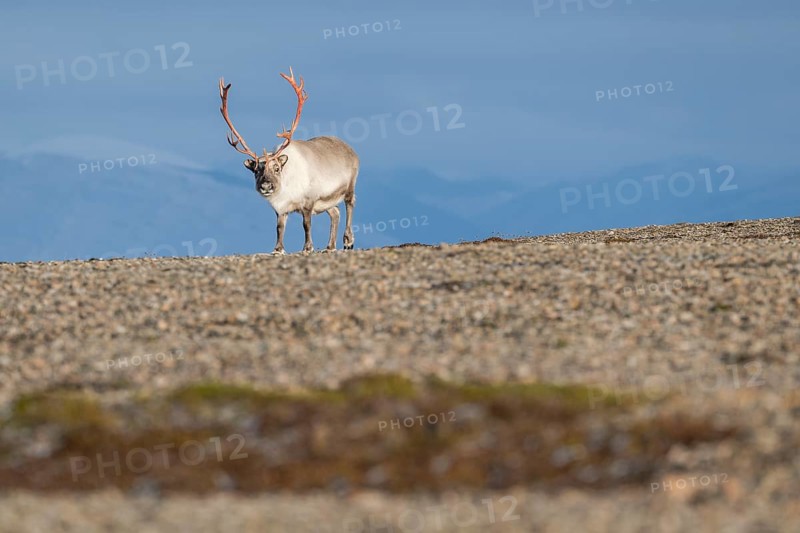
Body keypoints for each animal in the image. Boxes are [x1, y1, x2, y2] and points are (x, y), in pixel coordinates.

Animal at [218, 67, 359, 254]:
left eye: (277, 168)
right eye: (256, 170)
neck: (286, 187)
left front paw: (307, 247)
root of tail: (350, 150)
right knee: (335, 212)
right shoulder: (281, 209)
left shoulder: (309, 201)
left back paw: (348, 240)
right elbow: (279, 227)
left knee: (350, 204)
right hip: (326, 201)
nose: (266, 186)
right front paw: (278, 249)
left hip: (348, 186)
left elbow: (306, 224)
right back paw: (329, 247)